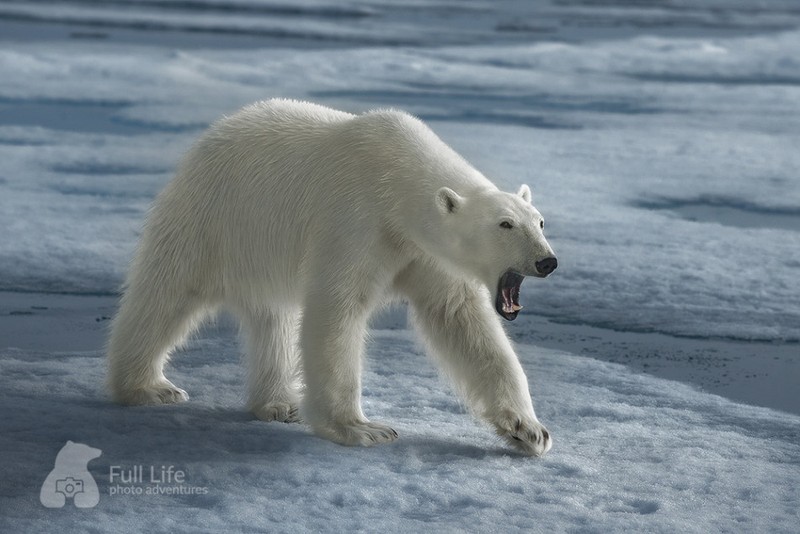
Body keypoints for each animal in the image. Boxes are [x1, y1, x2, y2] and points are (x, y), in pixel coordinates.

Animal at [106, 99, 556, 456]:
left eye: (539, 221)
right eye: (504, 224)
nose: (547, 261)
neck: (398, 180)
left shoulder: (423, 254)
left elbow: (463, 322)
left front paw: (530, 430)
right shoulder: (355, 221)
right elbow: (337, 309)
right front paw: (363, 429)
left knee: (273, 318)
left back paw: (279, 404)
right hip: (211, 219)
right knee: (167, 292)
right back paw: (148, 387)